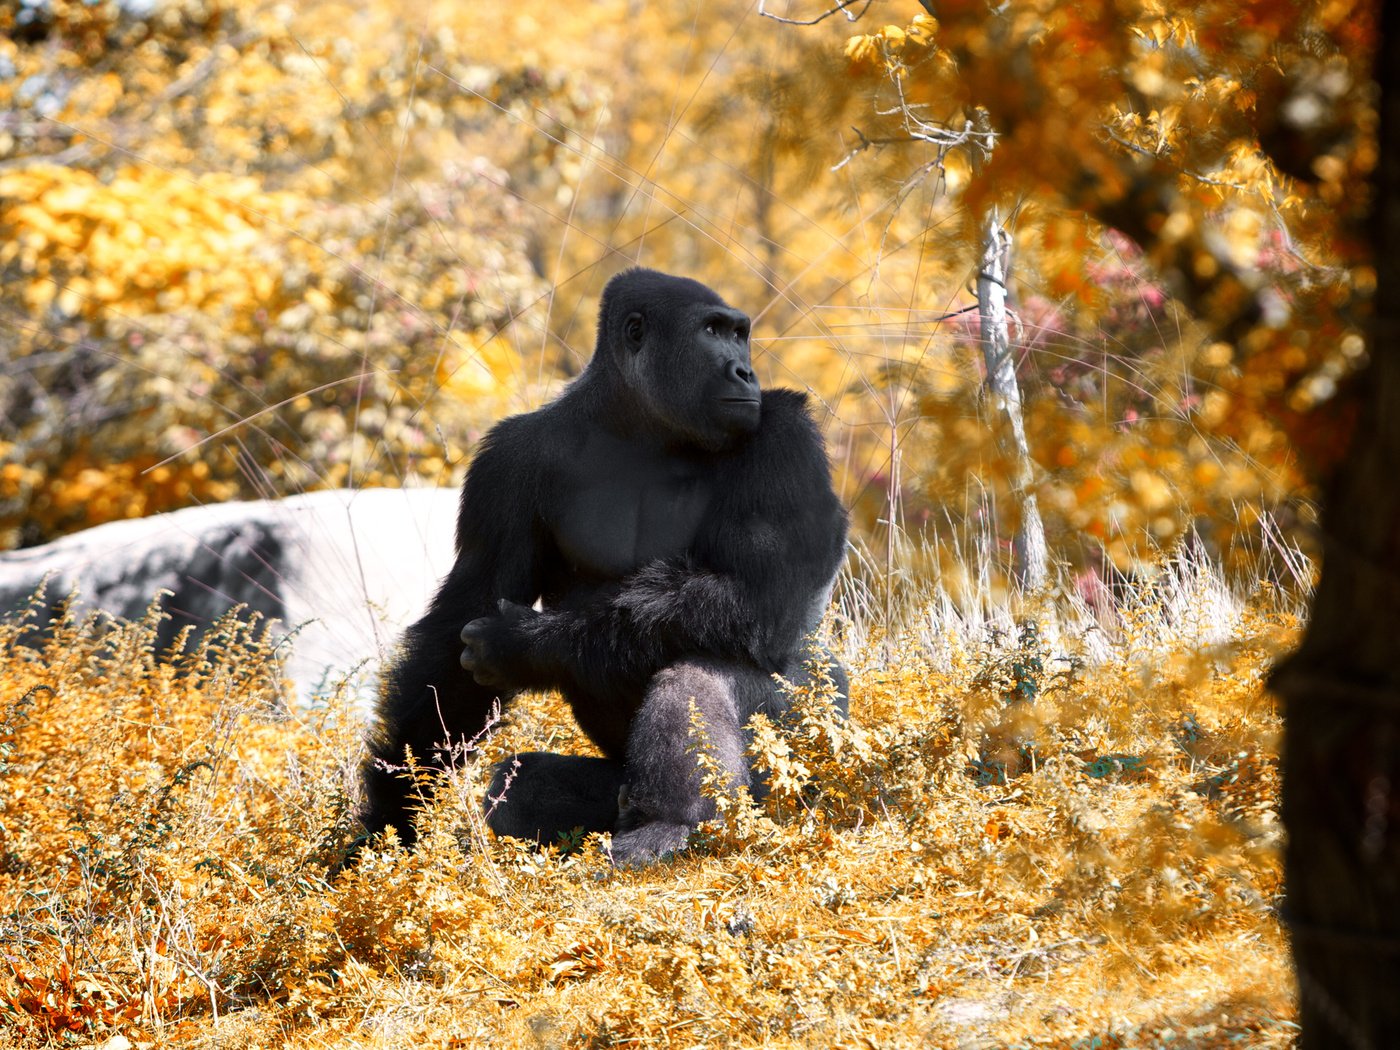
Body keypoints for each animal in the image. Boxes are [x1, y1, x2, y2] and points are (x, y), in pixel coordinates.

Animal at [355, 267, 845, 868]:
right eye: (712, 331)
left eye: (739, 334)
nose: (745, 371)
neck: (634, 422)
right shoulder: (507, 460)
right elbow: (458, 630)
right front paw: (390, 815)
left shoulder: (784, 433)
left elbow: (762, 596)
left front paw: (524, 645)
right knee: (521, 789)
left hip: (815, 758)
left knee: (703, 664)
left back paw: (670, 822)